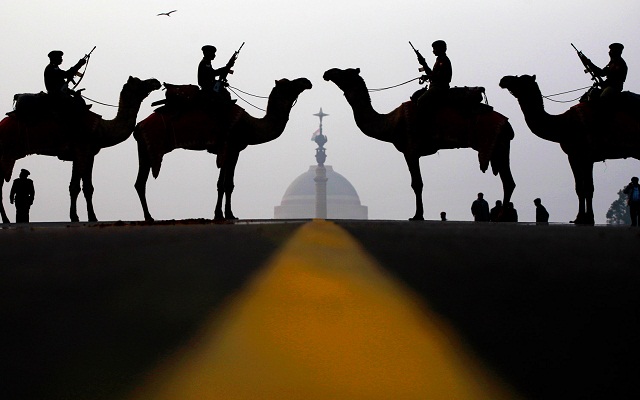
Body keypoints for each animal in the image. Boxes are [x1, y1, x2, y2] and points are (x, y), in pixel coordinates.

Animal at [0, 76, 160, 223]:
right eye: (139, 82)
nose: (155, 81)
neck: (101, 129)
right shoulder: (83, 149)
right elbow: (85, 187)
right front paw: (91, 217)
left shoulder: (83, 154)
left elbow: (76, 187)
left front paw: (75, 216)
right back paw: (6, 220)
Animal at [135, 76, 312, 220]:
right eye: (289, 84)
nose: (306, 81)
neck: (250, 126)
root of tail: (139, 126)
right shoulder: (231, 148)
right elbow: (226, 184)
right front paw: (224, 214)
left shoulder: (229, 150)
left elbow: (225, 184)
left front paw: (225, 214)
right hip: (150, 146)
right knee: (141, 182)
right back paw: (149, 217)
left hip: (144, 150)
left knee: (139, 183)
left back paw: (148, 216)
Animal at [322, 67, 516, 220]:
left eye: (345, 73)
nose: (328, 73)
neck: (390, 122)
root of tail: (507, 123)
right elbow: (418, 183)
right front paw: (418, 214)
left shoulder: (410, 150)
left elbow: (417, 184)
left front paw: (417, 216)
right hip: (500, 146)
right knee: (509, 180)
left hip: (498, 143)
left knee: (507, 181)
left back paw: (502, 216)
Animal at [500, 74, 640, 225]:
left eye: (520, 79)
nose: (503, 80)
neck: (564, 124)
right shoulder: (576, 156)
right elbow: (581, 187)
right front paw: (581, 218)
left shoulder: (585, 155)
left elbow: (587, 187)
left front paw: (587, 218)